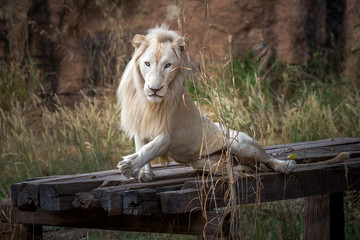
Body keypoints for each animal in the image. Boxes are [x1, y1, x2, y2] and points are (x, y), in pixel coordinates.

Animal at [116, 25, 348, 182]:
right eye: (147, 64)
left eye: (168, 66)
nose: (154, 89)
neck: (148, 102)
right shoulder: (140, 123)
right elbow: (142, 145)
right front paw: (143, 172)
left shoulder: (169, 132)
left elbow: (152, 147)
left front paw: (128, 165)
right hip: (203, 162)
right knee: (248, 167)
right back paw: (240, 170)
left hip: (240, 143)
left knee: (267, 159)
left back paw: (286, 165)